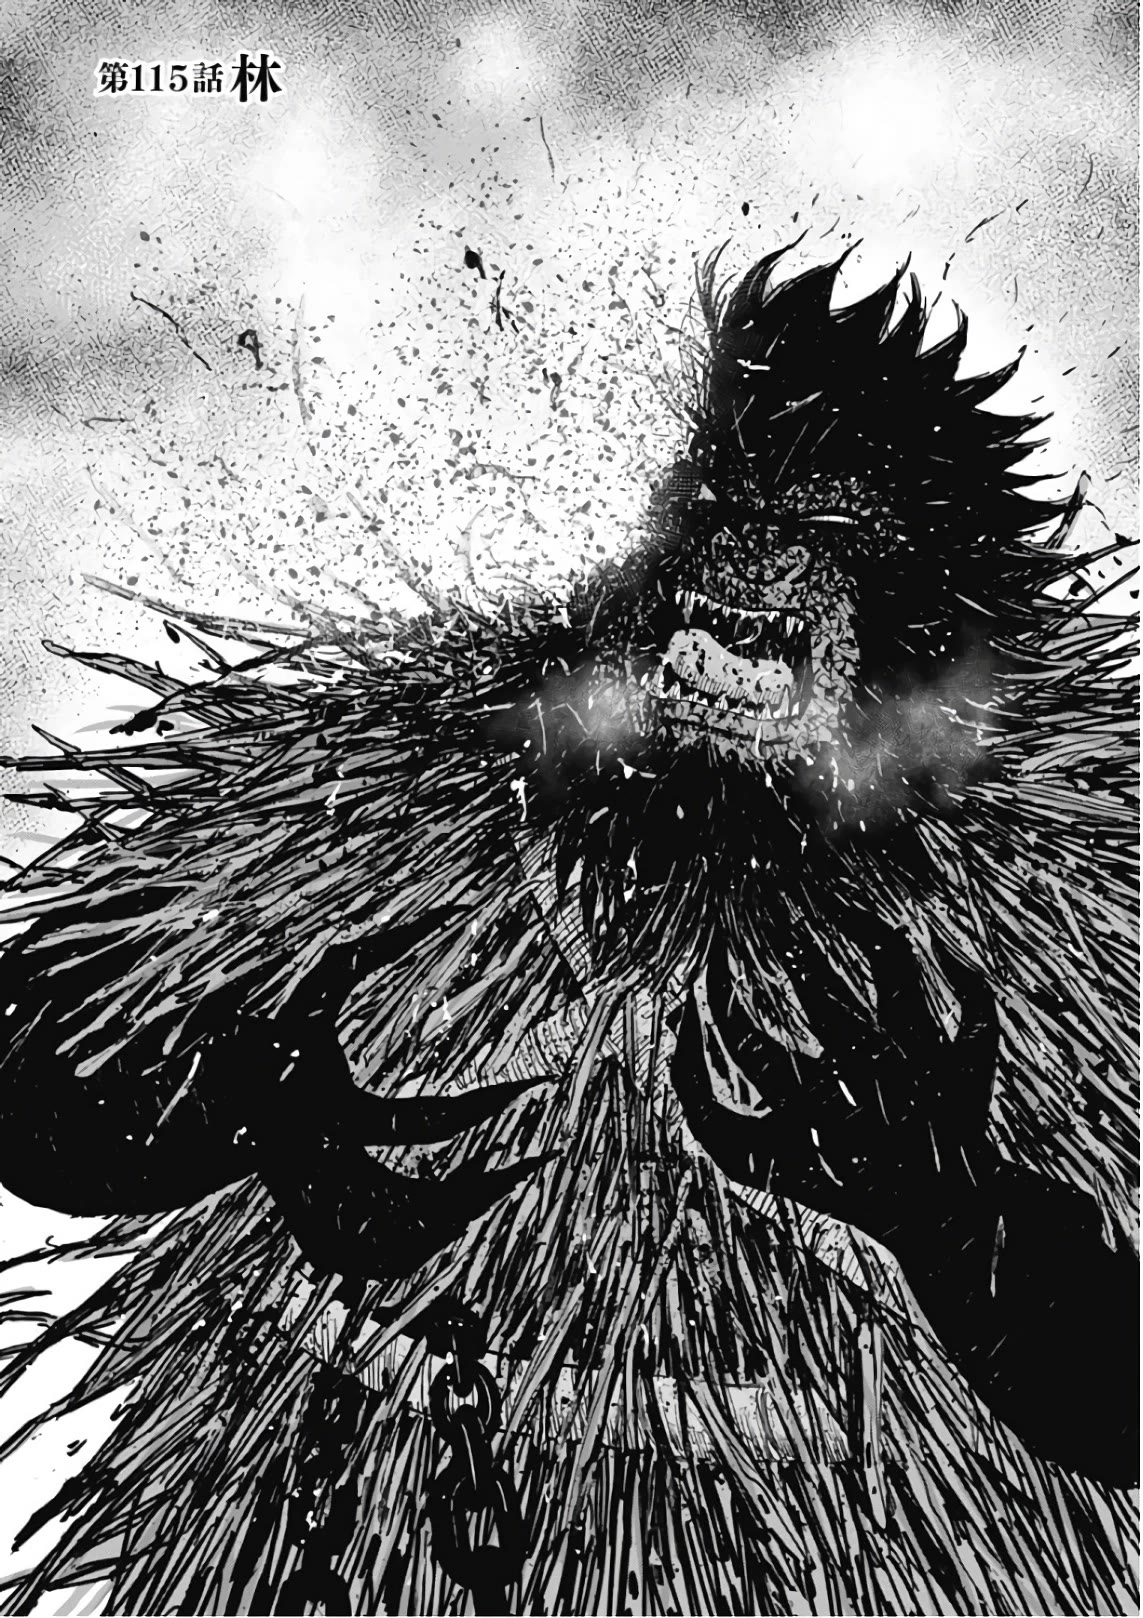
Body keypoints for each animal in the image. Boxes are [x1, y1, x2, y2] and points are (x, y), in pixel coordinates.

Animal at [0, 247, 1135, 1616]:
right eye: (718, 490)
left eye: (833, 527)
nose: (750, 555)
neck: (702, 840)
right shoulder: (376, 750)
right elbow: (51, 1016)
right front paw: (297, 1094)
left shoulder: (1074, 887)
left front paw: (898, 1144)